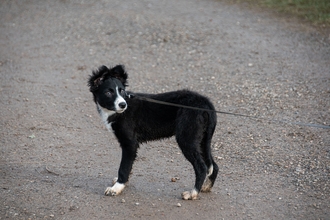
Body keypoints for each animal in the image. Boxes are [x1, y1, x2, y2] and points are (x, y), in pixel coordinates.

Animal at [88, 65, 219, 199]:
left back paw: (193, 193)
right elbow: (129, 165)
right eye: (108, 93)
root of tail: (205, 103)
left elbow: (124, 167)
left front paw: (117, 188)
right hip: (202, 140)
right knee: (213, 166)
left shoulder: (130, 143)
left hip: (187, 139)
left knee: (202, 167)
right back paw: (205, 187)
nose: (123, 104)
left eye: (122, 91)